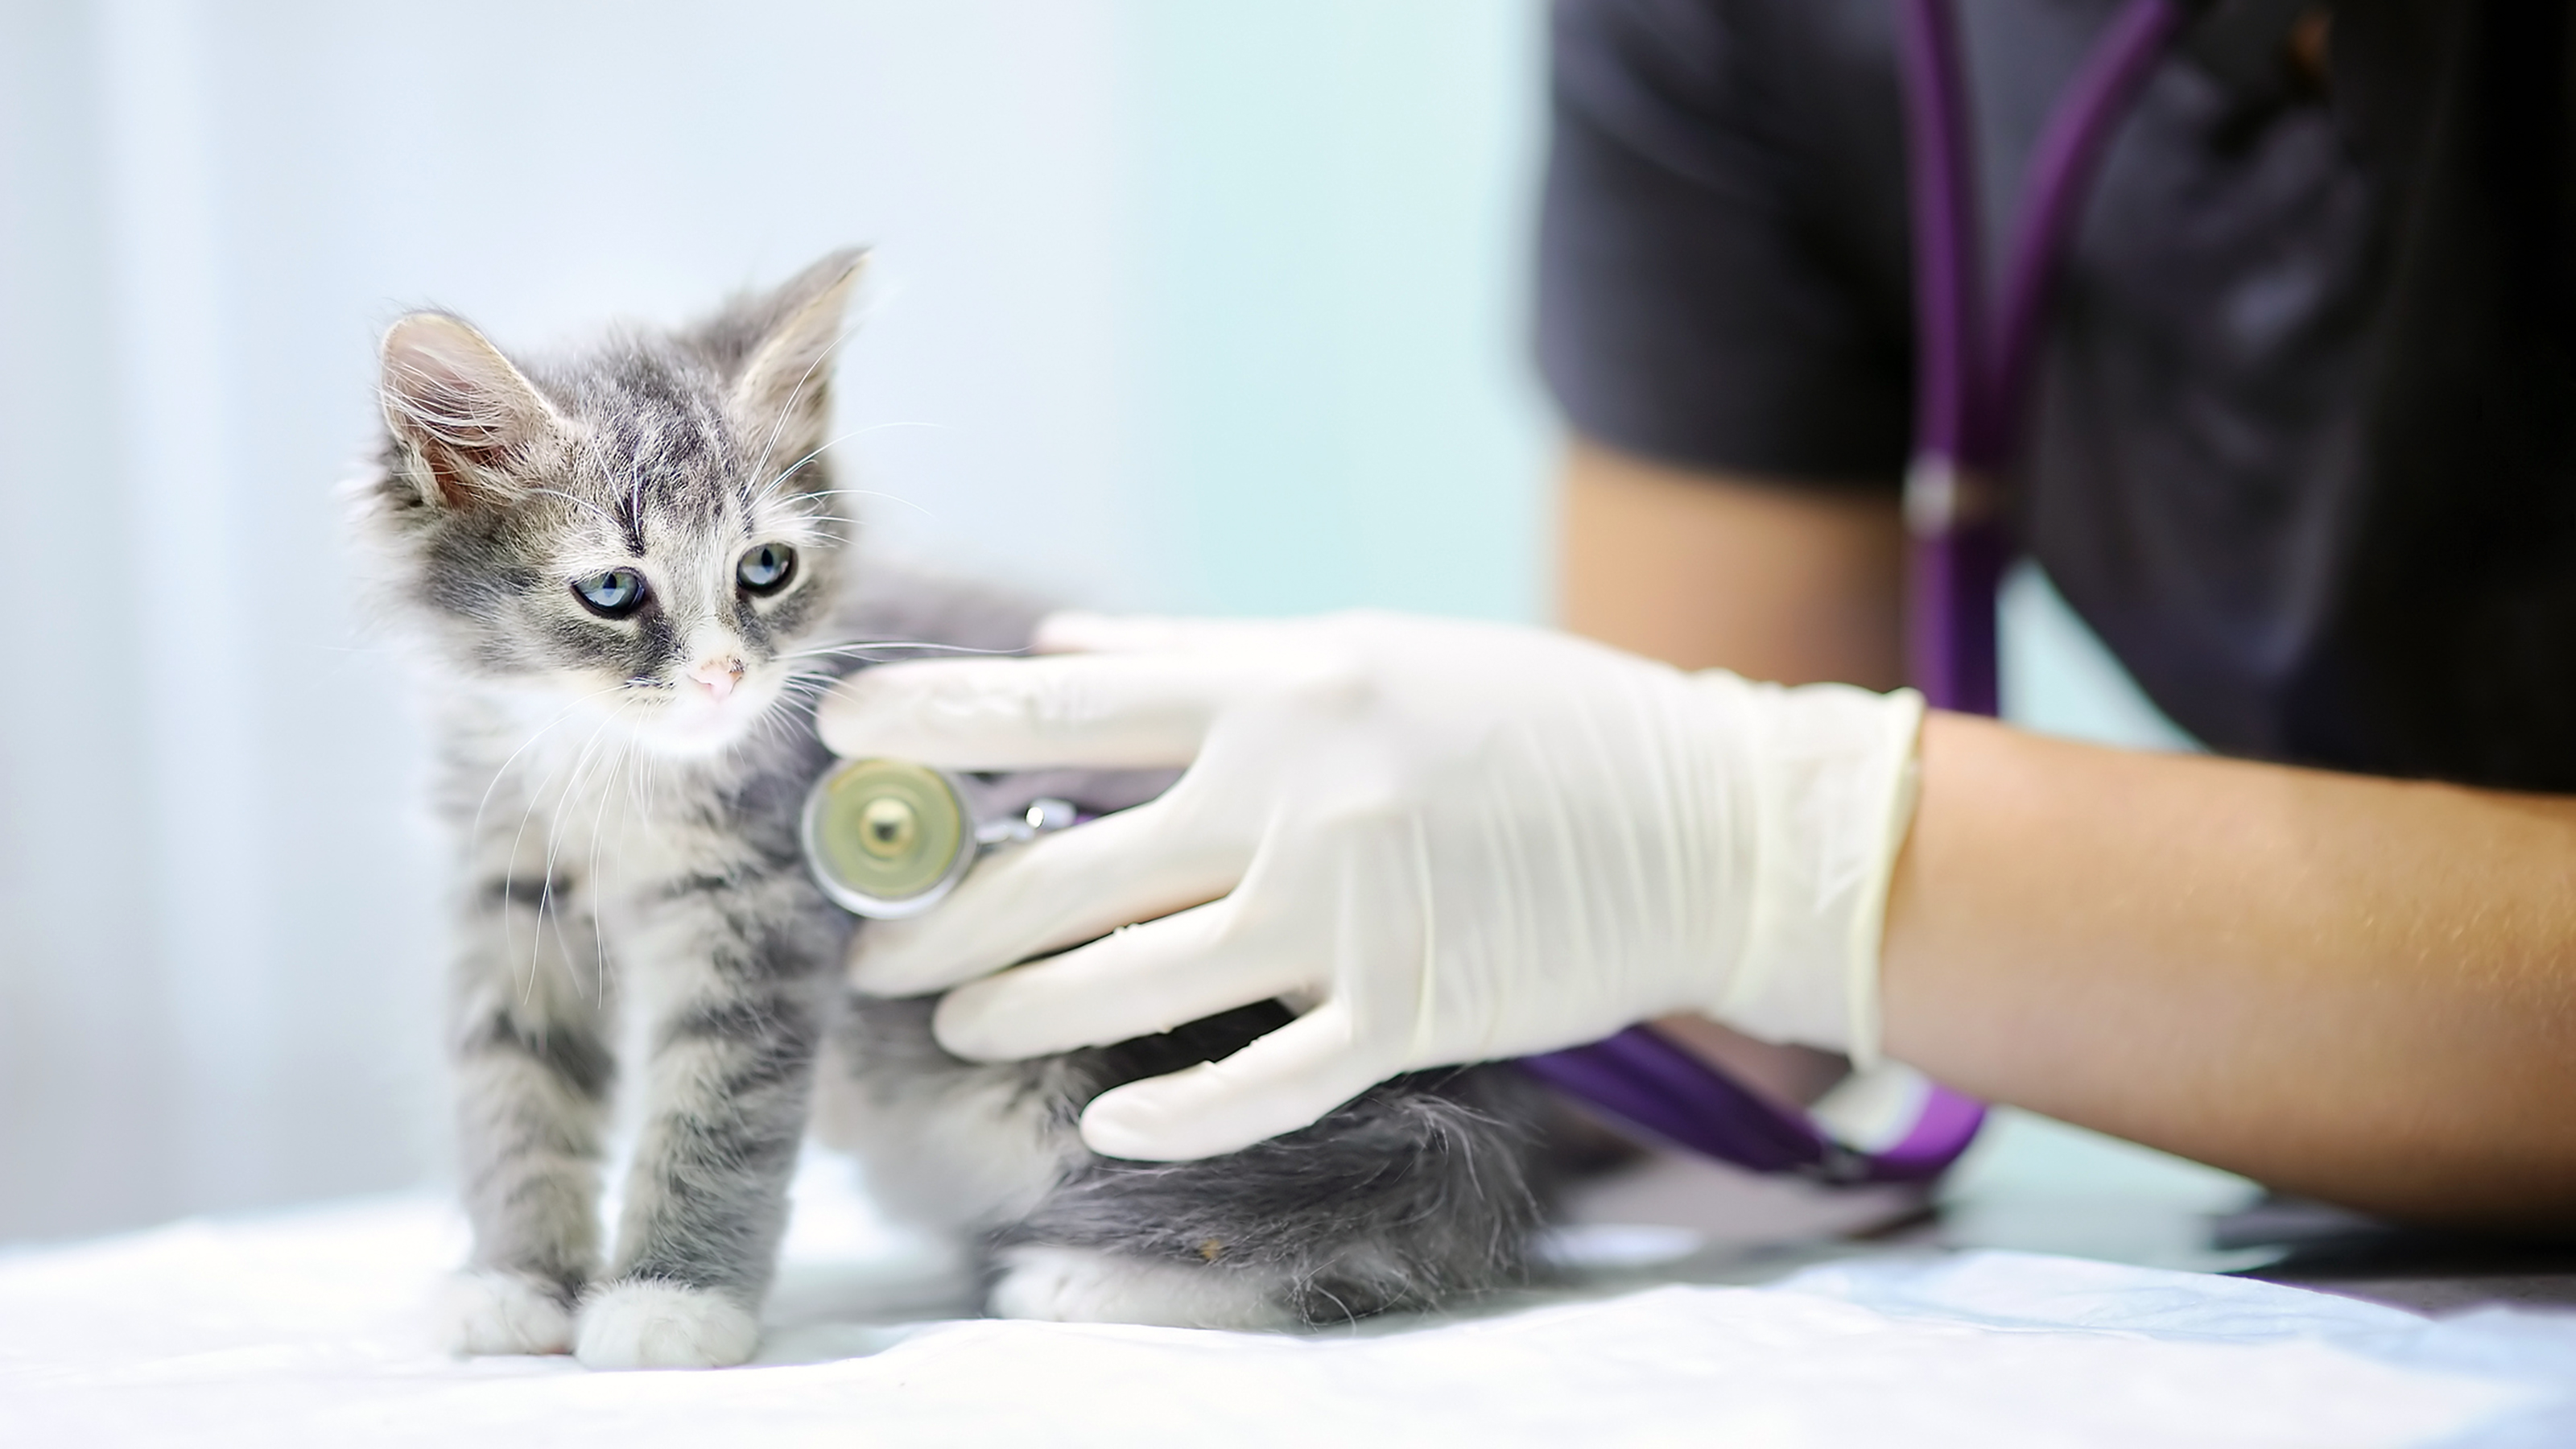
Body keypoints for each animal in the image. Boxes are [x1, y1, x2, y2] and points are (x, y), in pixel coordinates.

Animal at [353, 251, 1555, 1361]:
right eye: (612, 590)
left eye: (765, 569)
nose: (724, 678)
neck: (609, 766)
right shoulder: (507, 897)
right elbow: (515, 1092)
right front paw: (513, 1285)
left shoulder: (762, 911)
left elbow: (714, 1113)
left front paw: (670, 1302)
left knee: (1383, 1227)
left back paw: (1086, 1280)